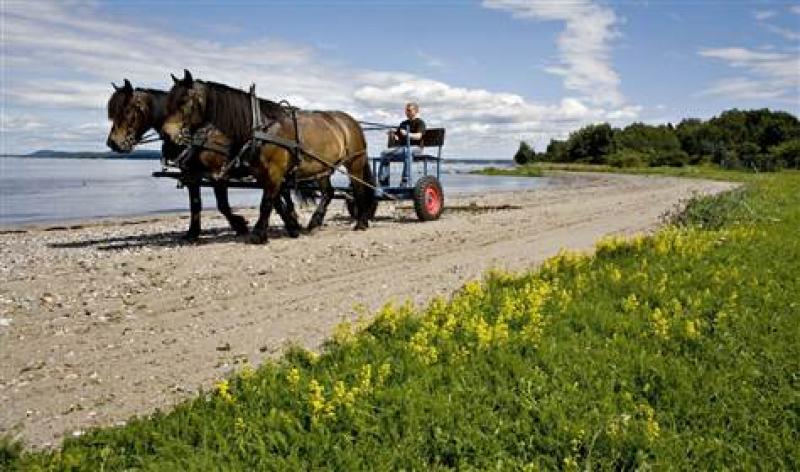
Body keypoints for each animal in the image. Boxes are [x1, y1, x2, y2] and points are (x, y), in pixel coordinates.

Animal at [103, 79, 296, 240]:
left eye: (127, 111)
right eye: (113, 113)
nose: (113, 143)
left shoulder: (219, 173)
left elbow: (222, 204)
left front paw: (240, 225)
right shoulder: (191, 173)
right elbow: (195, 204)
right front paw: (193, 232)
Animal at [163, 73, 378, 247]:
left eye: (184, 100)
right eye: (169, 100)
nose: (167, 134)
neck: (261, 127)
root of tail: (350, 121)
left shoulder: (272, 172)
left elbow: (266, 202)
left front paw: (258, 234)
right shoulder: (261, 174)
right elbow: (275, 202)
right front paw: (291, 227)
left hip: (355, 163)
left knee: (359, 190)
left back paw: (361, 221)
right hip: (322, 167)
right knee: (329, 192)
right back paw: (315, 222)